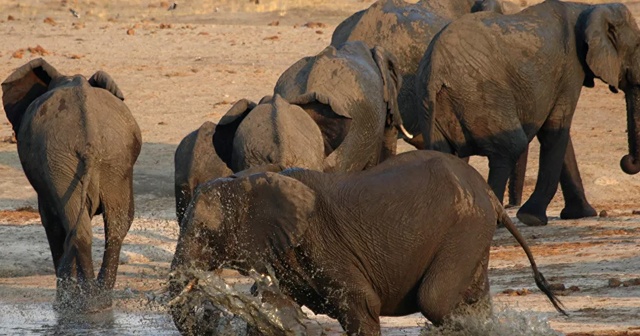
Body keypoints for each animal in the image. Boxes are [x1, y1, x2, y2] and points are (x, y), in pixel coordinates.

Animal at [1, 58, 141, 312]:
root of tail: (90, 137)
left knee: (78, 228)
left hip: (60, 161)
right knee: (116, 225)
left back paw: (78, 302)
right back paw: (99, 300)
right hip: (114, 160)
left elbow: (51, 222)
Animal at [169, 150, 564, 336]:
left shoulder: (323, 245)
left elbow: (362, 306)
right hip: (472, 232)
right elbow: (271, 313)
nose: (209, 314)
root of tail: (489, 194)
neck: (253, 178)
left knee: (435, 299)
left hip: (464, 226)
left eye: (204, 234)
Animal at [412, 0, 640, 226]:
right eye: (638, 46)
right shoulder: (570, 68)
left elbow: (558, 134)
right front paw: (532, 218)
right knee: (510, 147)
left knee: (445, 154)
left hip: (434, 102)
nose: (627, 160)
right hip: (480, 93)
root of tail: (435, 69)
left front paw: (580, 213)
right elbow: (555, 130)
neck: (587, 8)